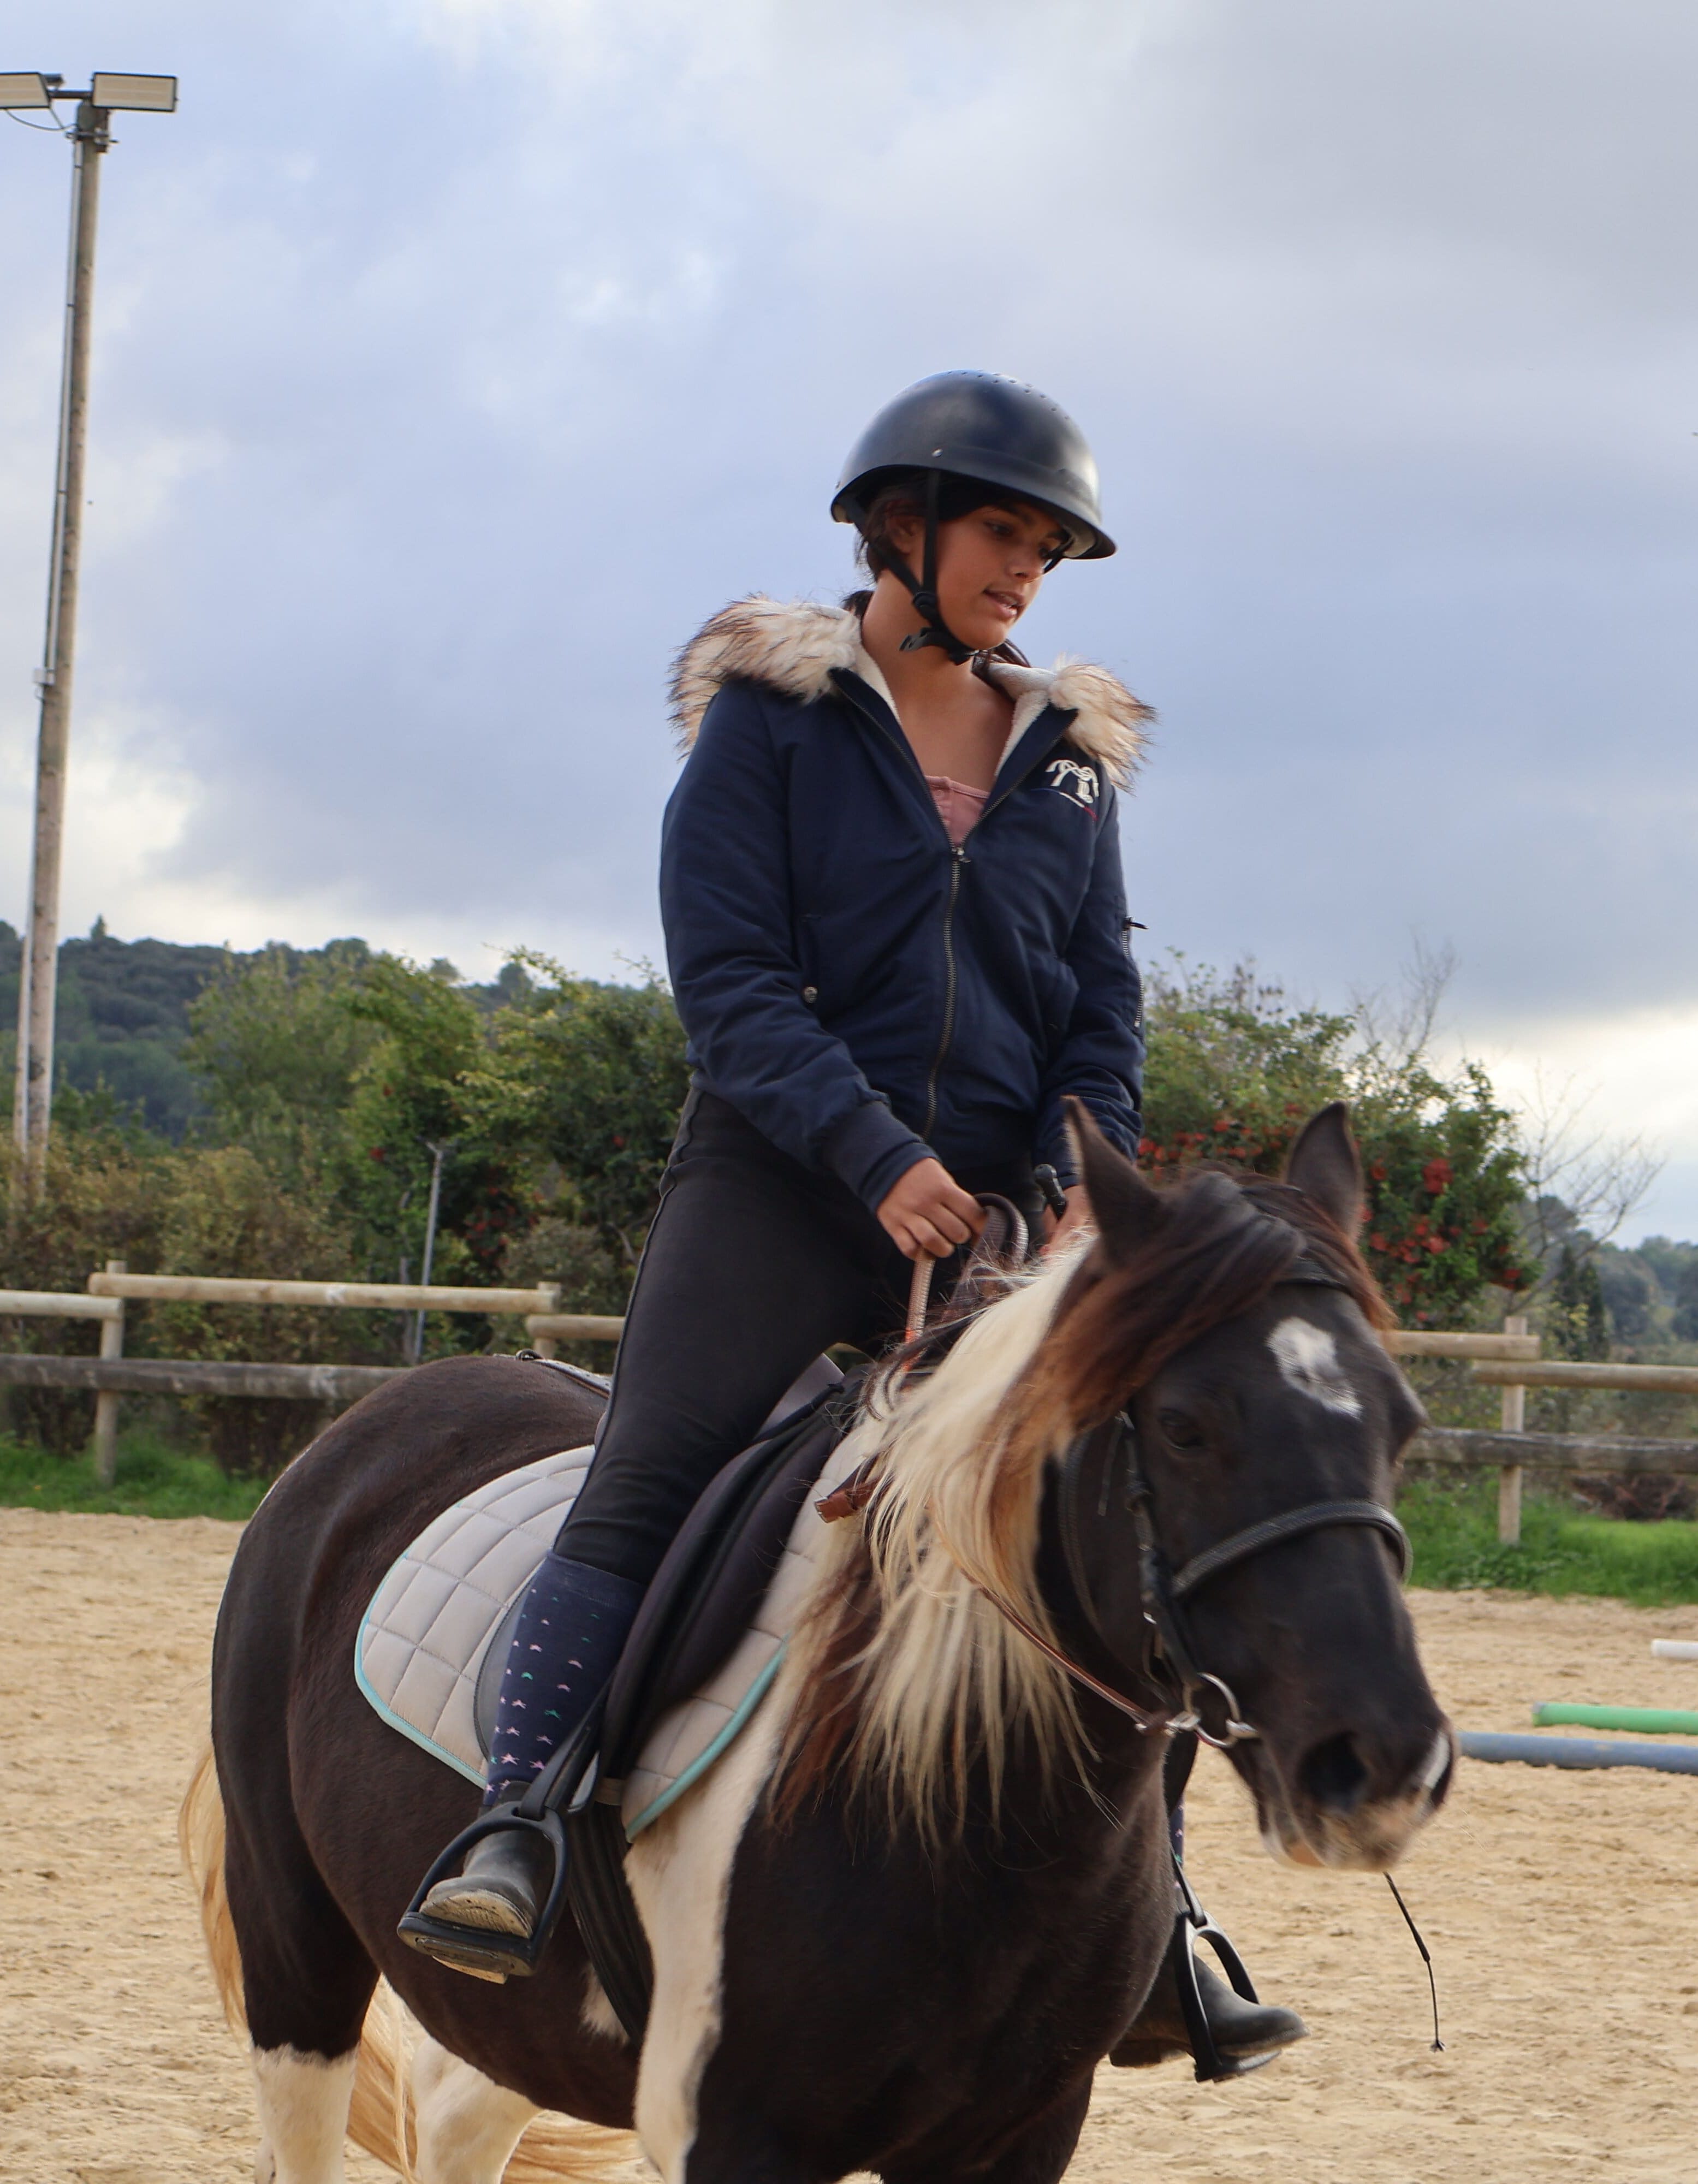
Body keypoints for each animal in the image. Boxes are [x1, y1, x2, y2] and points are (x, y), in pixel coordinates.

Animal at [188, 1109, 1458, 2184]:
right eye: (1187, 1427)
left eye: (1402, 1423)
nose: (1381, 1763)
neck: (971, 1810)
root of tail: (369, 1425)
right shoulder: (740, 2136)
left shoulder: (1020, 2135)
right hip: (297, 1953)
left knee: (457, 2119)